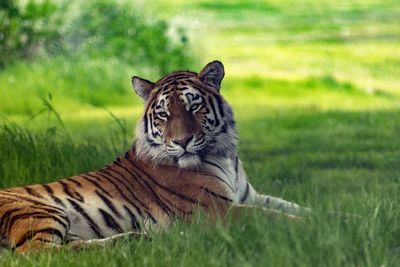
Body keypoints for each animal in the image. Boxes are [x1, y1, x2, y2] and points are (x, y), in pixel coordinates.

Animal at [0, 61, 310, 255]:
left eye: (194, 106)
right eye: (163, 114)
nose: (182, 142)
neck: (223, 155)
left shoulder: (248, 196)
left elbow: (292, 206)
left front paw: (320, 215)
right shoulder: (217, 209)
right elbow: (273, 216)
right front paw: (315, 225)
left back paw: (136, 239)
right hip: (42, 210)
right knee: (38, 253)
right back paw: (139, 239)